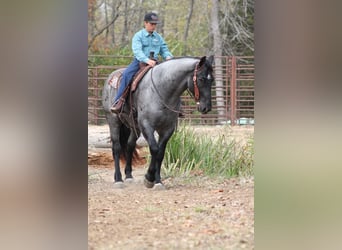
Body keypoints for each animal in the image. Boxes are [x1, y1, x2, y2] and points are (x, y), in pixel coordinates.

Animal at [101, 56, 214, 189]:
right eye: (201, 79)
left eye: (212, 80)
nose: (206, 108)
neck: (162, 91)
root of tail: (111, 76)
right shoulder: (147, 126)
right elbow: (154, 149)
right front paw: (149, 177)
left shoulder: (167, 129)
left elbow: (160, 153)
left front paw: (158, 181)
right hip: (113, 120)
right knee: (116, 148)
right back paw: (118, 179)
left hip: (134, 126)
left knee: (129, 145)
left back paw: (128, 176)